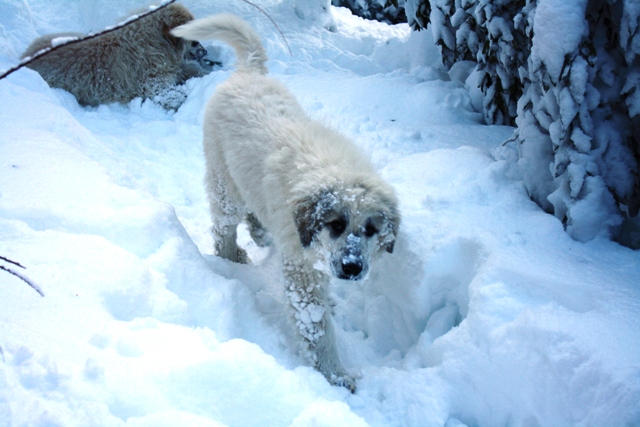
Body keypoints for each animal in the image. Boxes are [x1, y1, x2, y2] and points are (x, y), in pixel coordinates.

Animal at [171, 14, 400, 394]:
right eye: (337, 224)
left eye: (371, 229)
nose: (352, 268)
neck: (332, 170)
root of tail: (248, 73)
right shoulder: (302, 269)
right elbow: (317, 328)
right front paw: (334, 375)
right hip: (224, 182)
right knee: (223, 229)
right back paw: (231, 257)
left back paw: (259, 232)